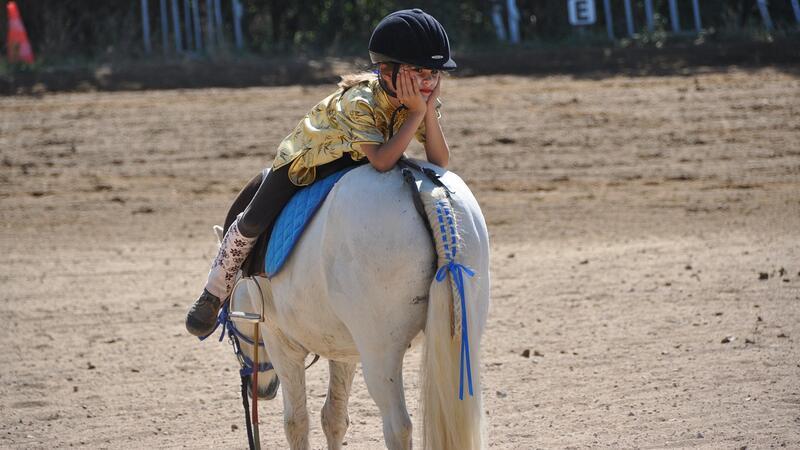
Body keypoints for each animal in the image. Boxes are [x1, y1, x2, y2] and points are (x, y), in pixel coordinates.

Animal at [228, 160, 490, 448]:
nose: (262, 390)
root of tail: (429, 192)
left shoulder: (281, 343)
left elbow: (296, 423)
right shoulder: (344, 350)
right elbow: (333, 417)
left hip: (380, 355)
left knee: (398, 427)